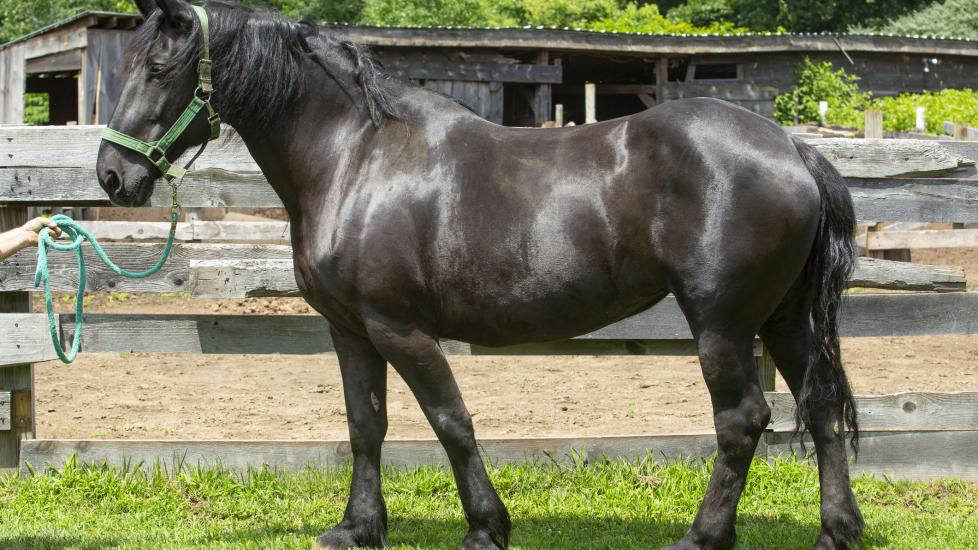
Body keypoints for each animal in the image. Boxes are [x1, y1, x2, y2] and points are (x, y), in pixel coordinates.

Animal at [97, 1, 863, 548]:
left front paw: (486, 528)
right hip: (783, 319)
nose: (112, 176)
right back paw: (836, 531)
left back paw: (702, 537)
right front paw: (357, 529)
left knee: (742, 419)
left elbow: (450, 421)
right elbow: (365, 424)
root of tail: (791, 148)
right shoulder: (349, 331)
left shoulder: (399, 329)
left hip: (723, 324)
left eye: (159, 69)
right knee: (820, 406)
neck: (355, 158)